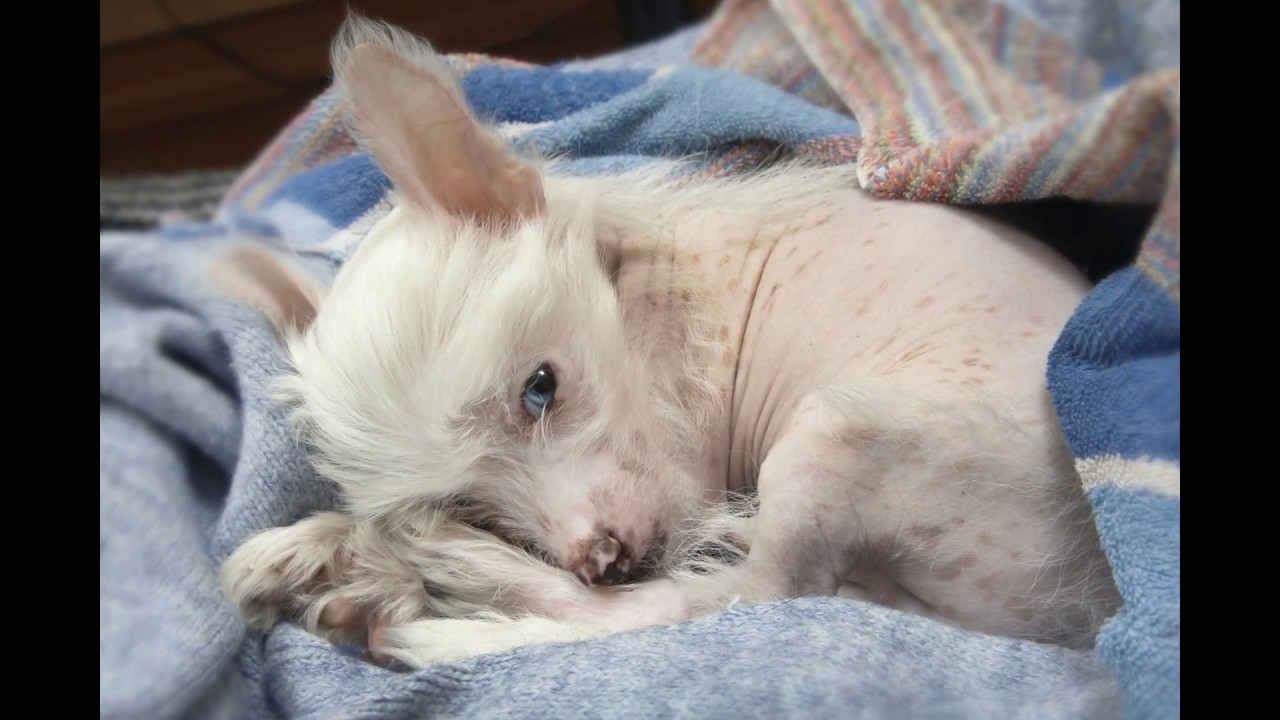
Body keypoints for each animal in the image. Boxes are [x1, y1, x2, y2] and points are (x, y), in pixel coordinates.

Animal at [217, 16, 1121, 666]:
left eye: (541, 388)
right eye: (474, 500)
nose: (602, 556)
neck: (638, 294)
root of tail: (1085, 609)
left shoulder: (683, 468)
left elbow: (665, 595)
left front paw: (367, 553)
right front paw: (323, 544)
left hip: (836, 430)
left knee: (728, 602)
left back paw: (424, 609)